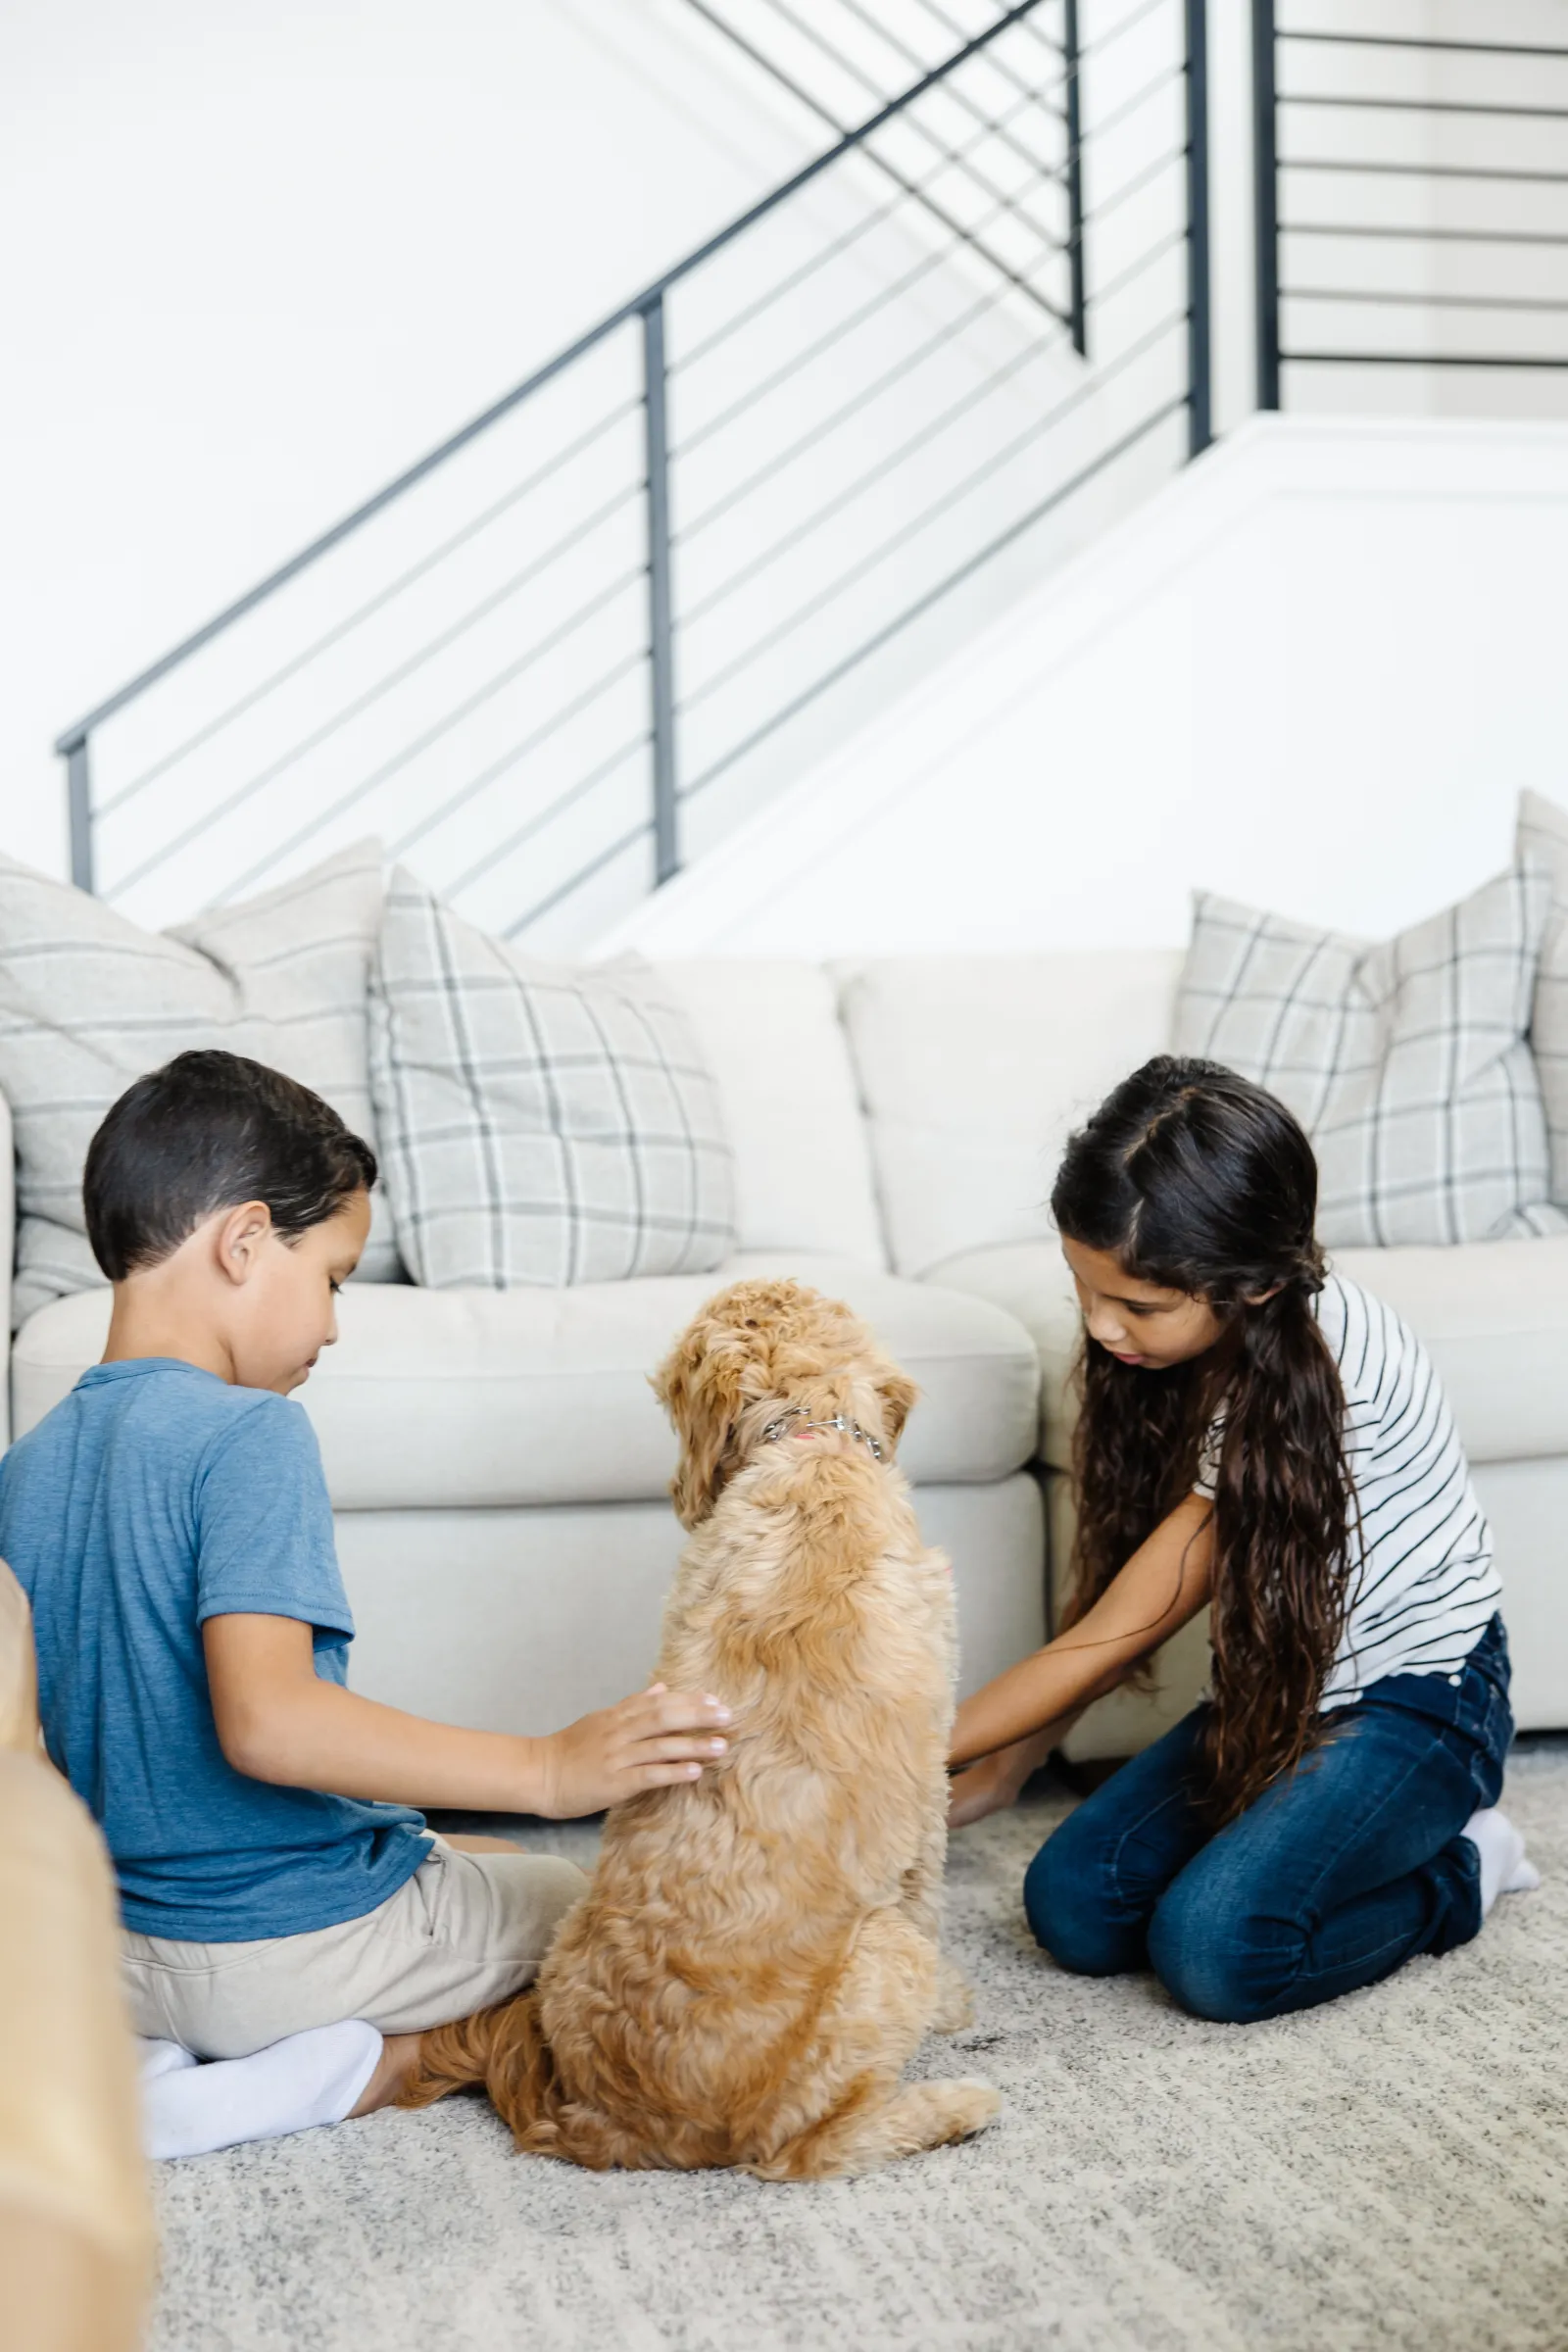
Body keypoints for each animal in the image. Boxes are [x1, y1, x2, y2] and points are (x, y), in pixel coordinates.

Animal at [399, 1279, 1001, 2173]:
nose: (677, 1495)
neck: (811, 1448)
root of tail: (617, 2123)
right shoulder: (929, 1786)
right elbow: (929, 1888)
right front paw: (955, 2009)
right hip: (878, 1956)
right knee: (811, 2150)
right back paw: (950, 2107)